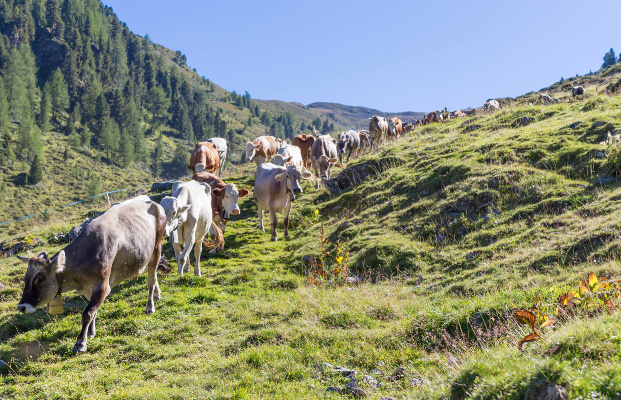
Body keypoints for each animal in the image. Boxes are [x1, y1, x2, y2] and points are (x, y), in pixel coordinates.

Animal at [16, 197, 166, 354]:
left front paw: (81, 342)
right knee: (154, 277)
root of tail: (149, 200)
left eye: (39, 280)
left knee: (151, 279)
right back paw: (157, 294)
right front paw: (91, 332)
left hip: (157, 247)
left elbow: (87, 313)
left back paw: (150, 306)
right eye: (25, 279)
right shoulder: (89, 288)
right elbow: (93, 311)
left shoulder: (102, 286)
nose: (21, 307)